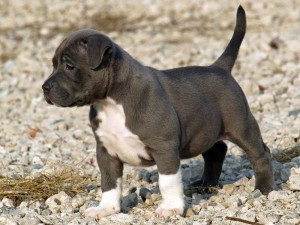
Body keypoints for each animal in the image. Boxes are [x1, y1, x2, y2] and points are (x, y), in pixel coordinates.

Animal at [42, 6, 276, 219]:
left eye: (69, 66)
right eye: (53, 65)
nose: (44, 88)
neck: (110, 102)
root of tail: (219, 67)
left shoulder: (164, 148)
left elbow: (168, 182)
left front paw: (171, 208)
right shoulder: (106, 151)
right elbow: (109, 183)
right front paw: (106, 208)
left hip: (241, 126)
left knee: (260, 153)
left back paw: (264, 189)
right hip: (204, 129)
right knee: (216, 151)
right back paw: (206, 184)